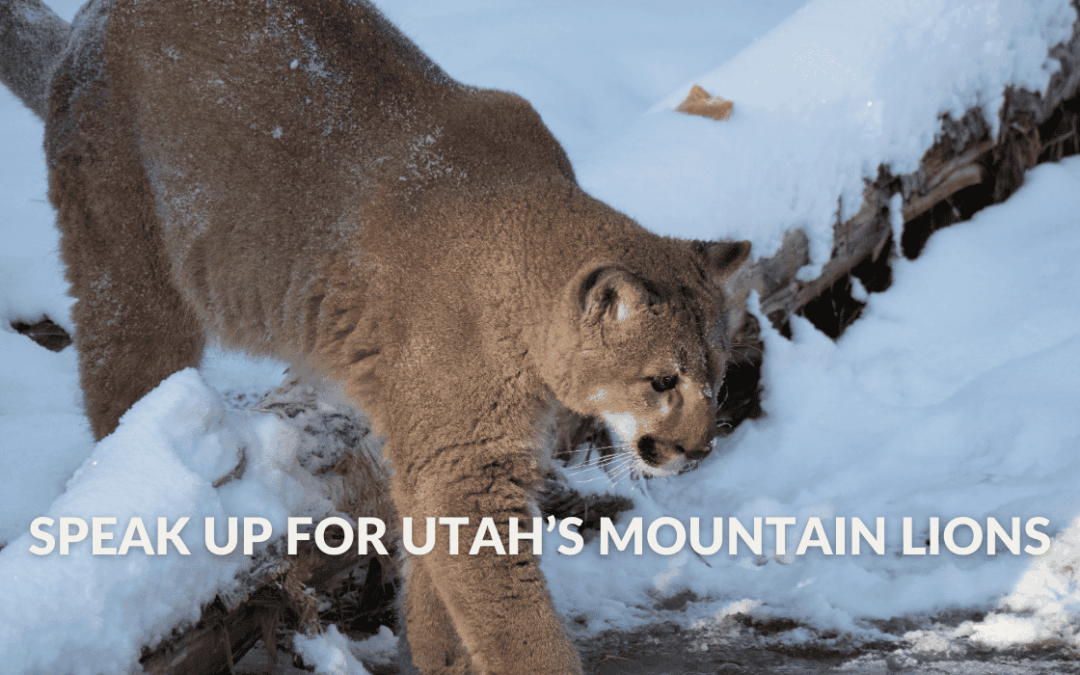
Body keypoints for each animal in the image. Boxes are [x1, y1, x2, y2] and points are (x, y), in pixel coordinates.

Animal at [1, 0, 750, 672]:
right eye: (661, 380)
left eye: (716, 376)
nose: (700, 450)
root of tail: (92, 19)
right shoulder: (463, 468)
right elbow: (512, 616)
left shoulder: (449, 451)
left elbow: (435, 576)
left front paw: (436, 655)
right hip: (131, 275)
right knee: (122, 395)